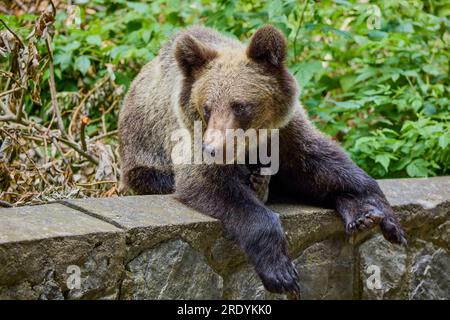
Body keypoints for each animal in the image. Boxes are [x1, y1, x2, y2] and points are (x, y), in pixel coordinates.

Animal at [118, 25, 406, 296]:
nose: (212, 149)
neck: (252, 143)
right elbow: (211, 184)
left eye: (240, 105)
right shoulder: (188, 136)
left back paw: (359, 215)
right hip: (143, 155)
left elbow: (326, 164)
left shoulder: (286, 133)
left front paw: (387, 220)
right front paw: (281, 273)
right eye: (207, 107)